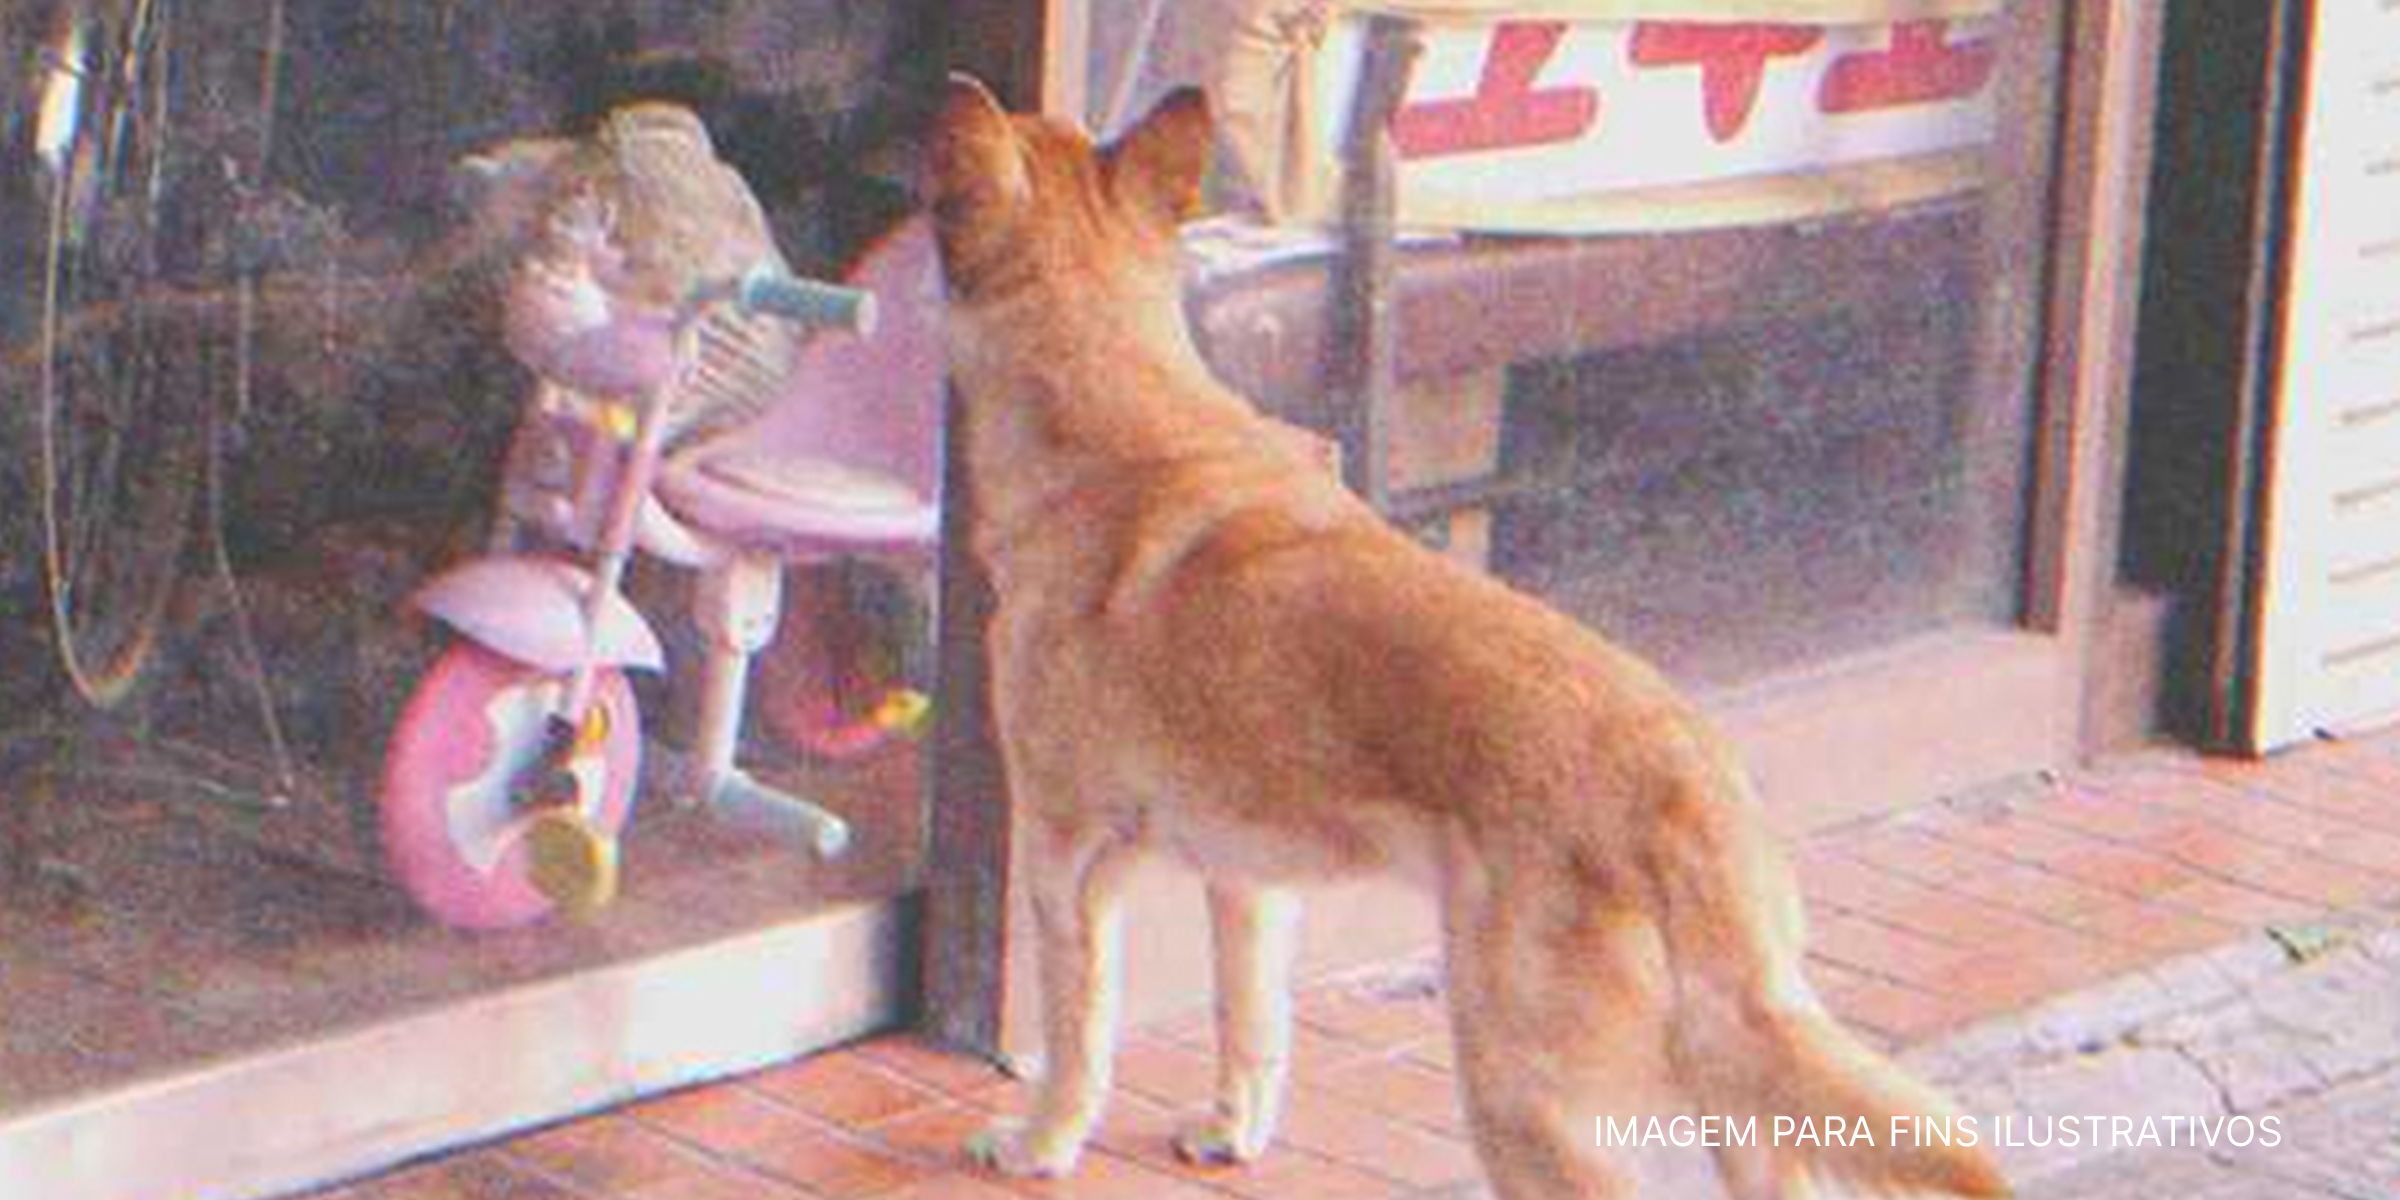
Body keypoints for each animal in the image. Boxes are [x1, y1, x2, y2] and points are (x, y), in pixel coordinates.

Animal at [926, 77, 2016, 1200]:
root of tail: (1685, 784)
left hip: (1520, 1096)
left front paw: (1039, 1144)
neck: (1122, 424)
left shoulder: (1067, 860)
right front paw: (1233, 1131)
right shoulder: (1252, 885)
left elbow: (1077, 1038)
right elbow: (1251, 1024)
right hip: (1737, 1100)